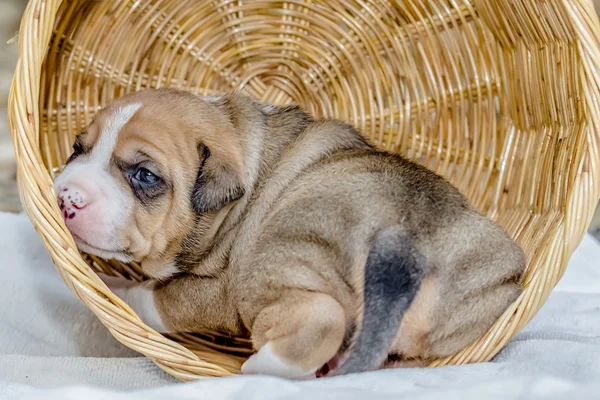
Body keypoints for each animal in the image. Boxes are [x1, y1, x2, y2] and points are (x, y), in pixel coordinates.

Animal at [54, 87, 524, 378]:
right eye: (77, 147)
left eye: (145, 175)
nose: (65, 197)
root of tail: (407, 242)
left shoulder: (215, 292)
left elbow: (155, 297)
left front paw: (112, 286)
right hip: (491, 284)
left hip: (277, 259)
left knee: (320, 320)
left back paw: (258, 370)